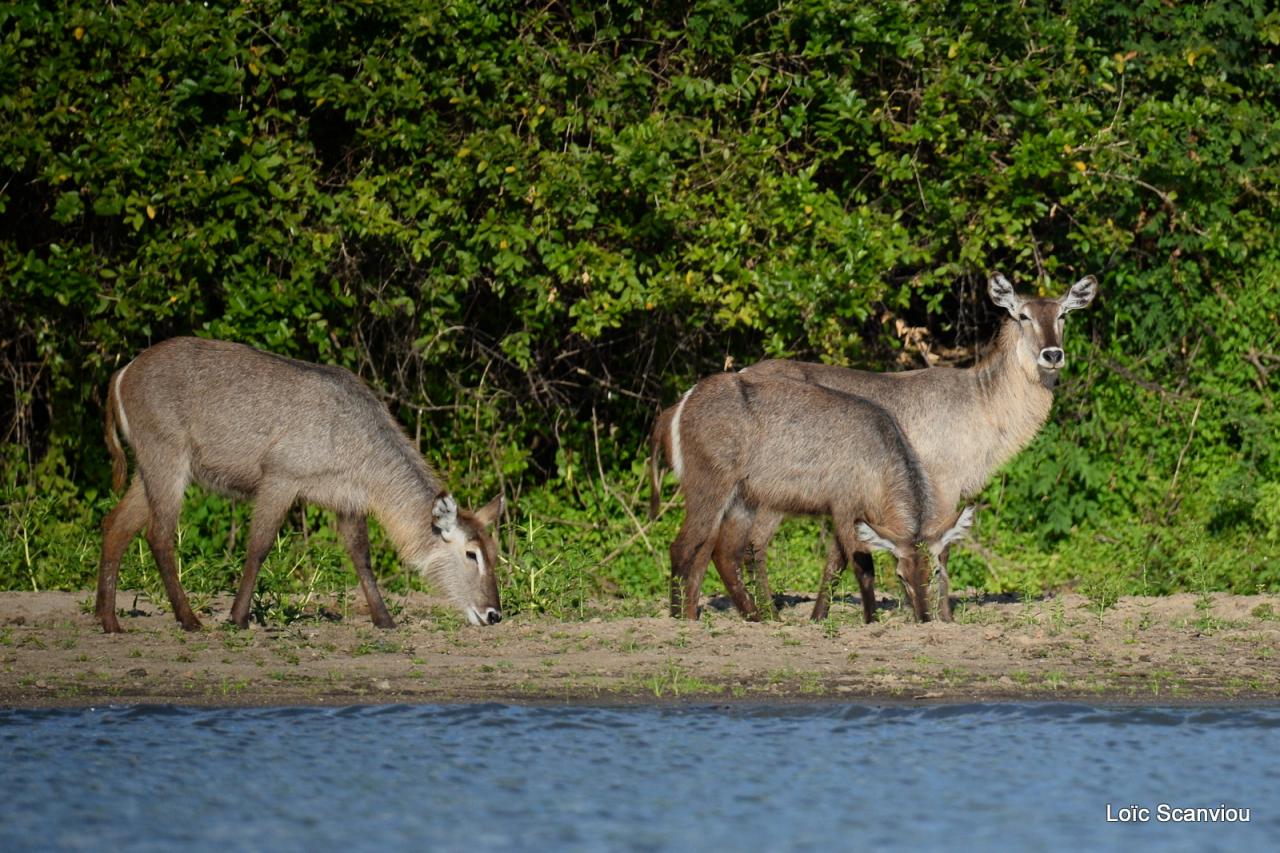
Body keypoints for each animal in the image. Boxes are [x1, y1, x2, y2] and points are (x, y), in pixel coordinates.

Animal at [97, 335, 504, 627]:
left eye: (494, 551)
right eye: (471, 553)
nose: (493, 614)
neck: (357, 439)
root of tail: (121, 374)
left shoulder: (348, 500)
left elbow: (361, 558)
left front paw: (385, 620)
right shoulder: (281, 477)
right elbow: (259, 546)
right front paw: (238, 617)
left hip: (147, 467)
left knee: (116, 524)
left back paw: (108, 619)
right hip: (168, 458)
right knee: (159, 534)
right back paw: (189, 619)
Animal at [660, 368, 967, 622]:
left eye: (935, 571)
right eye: (900, 576)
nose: (924, 619)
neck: (880, 457)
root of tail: (684, 400)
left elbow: (834, 565)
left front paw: (819, 617)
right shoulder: (845, 505)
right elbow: (862, 567)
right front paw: (871, 620)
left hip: (742, 499)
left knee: (721, 551)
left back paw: (749, 617)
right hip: (709, 487)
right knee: (682, 546)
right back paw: (678, 617)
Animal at [701, 272, 1100, 617]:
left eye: (1063, 314)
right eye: (1022, 315)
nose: (1052, 355)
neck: (982, 402)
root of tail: (740, 373)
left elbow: (843, 555)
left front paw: (824, 616)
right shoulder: (943, 486)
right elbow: (940, 549)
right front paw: (940, 615)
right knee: (754, 544)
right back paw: (766, 614)